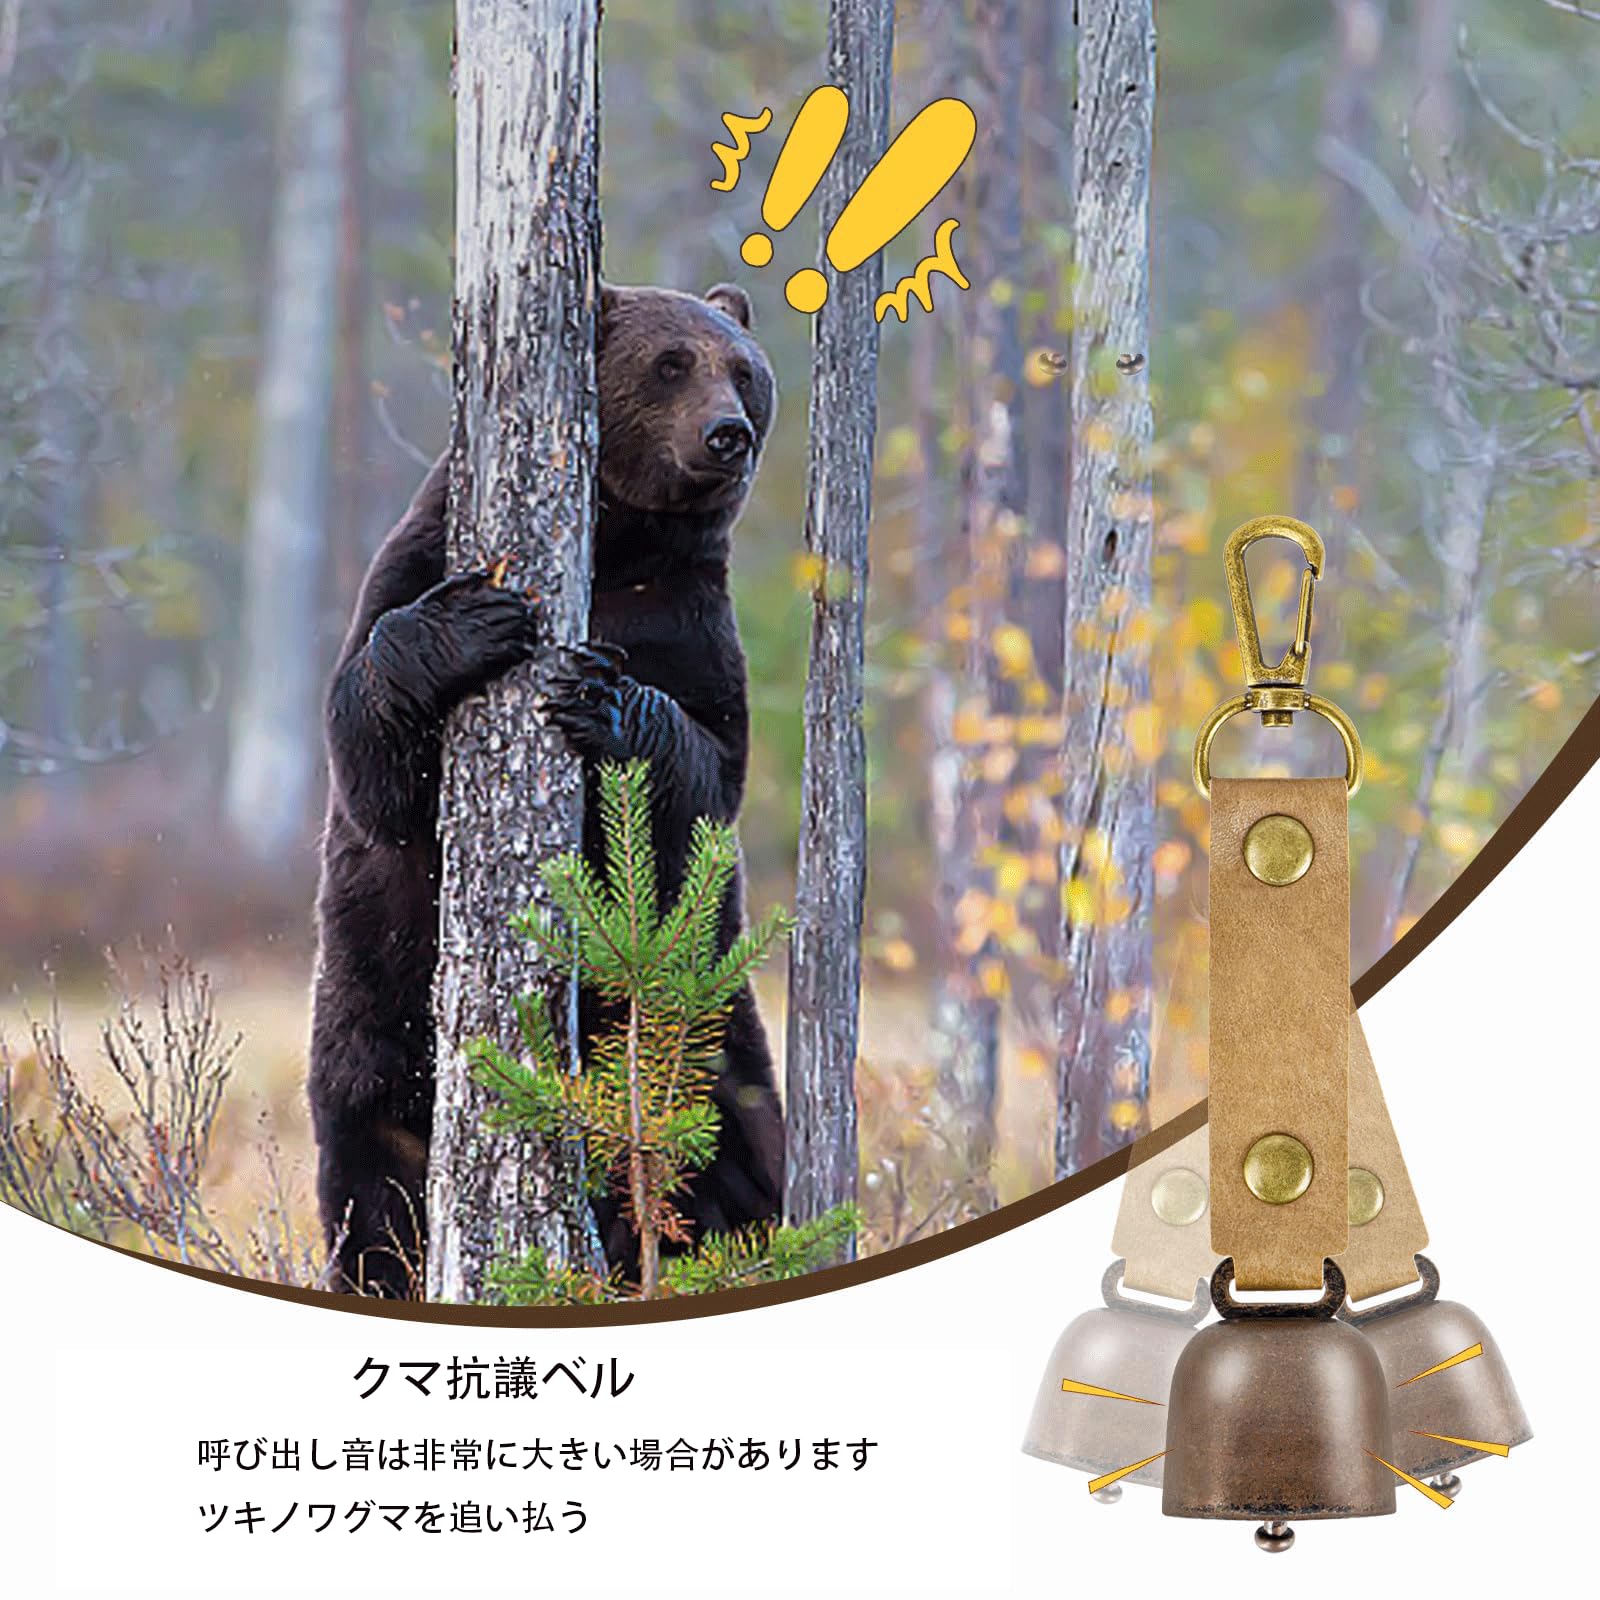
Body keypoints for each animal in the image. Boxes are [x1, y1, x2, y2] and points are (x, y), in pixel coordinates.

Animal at [307, 281, 783, 1297]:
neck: (618, 546)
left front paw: (600, 696)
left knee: (737, 1161)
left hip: (700, 1044)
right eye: (672, 363)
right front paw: (471, 621)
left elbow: (706, 777)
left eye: (745, 371)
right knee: (372, 1192)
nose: (727, 434)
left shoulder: (687, 623)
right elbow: (372, 759)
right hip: (370, 1038)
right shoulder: (412, 557)